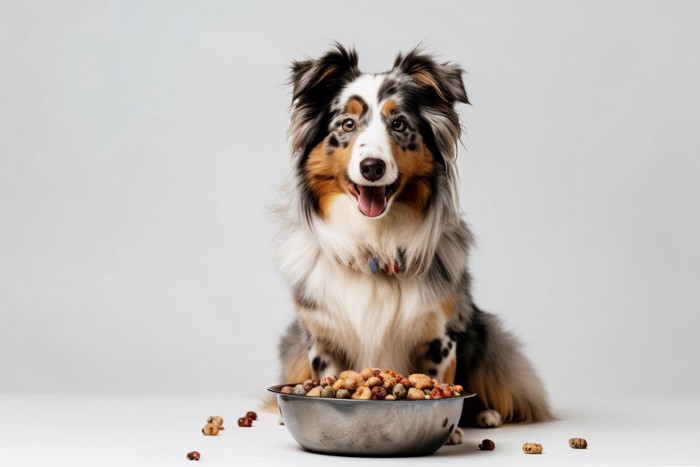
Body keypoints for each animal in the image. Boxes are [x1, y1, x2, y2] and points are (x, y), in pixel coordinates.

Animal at [274, 44, 552, 432]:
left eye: (399, 124)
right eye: (347, 124)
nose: (372, 167)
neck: (375, 244)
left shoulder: (441, 334)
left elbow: (442, 381)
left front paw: (452, 428)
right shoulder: (322, 338)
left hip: (483, 332)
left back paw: (485, 415)